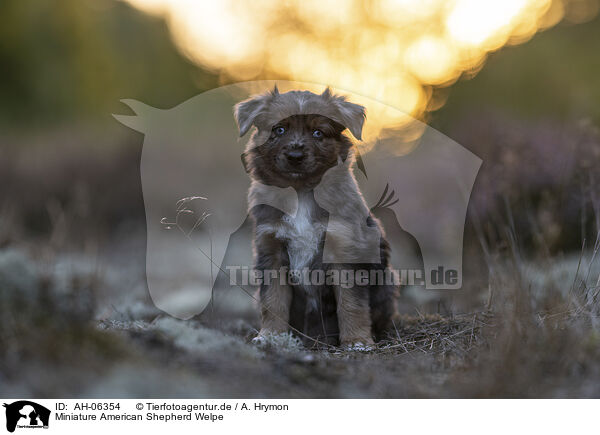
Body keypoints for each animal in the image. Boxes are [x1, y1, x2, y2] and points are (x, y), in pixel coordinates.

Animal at [236, 87, 398, 350]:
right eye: (279, 130)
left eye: (318, 132)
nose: (295, 155)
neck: (301, 191)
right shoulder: (271, 250)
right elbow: (273, 301)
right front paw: (271, 336)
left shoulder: (344, 251)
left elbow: (351, 303)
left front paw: (357, 341)